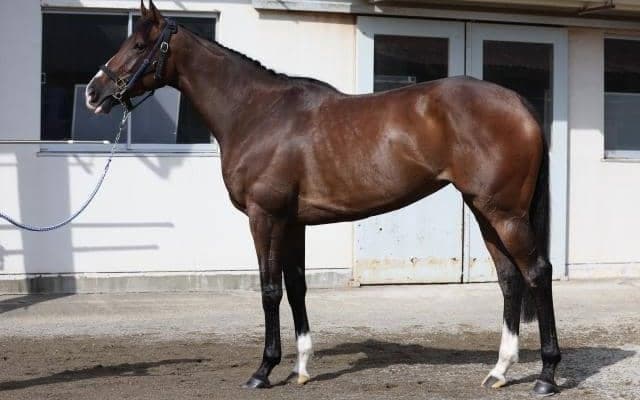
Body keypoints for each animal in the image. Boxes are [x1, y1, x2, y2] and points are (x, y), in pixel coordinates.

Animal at [85, 1, 561, 395]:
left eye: (140, 44)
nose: (94, 91)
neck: (257, 113)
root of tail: (519, 103)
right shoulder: (293, 222)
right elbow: (297, 287)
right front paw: (301, 367)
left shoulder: (264, 217)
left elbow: (270, 289)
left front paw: (264, 370)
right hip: (485, 211)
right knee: (510, 279)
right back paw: (500, 371)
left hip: (506, 214)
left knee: (537, 273)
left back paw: (546, 375)